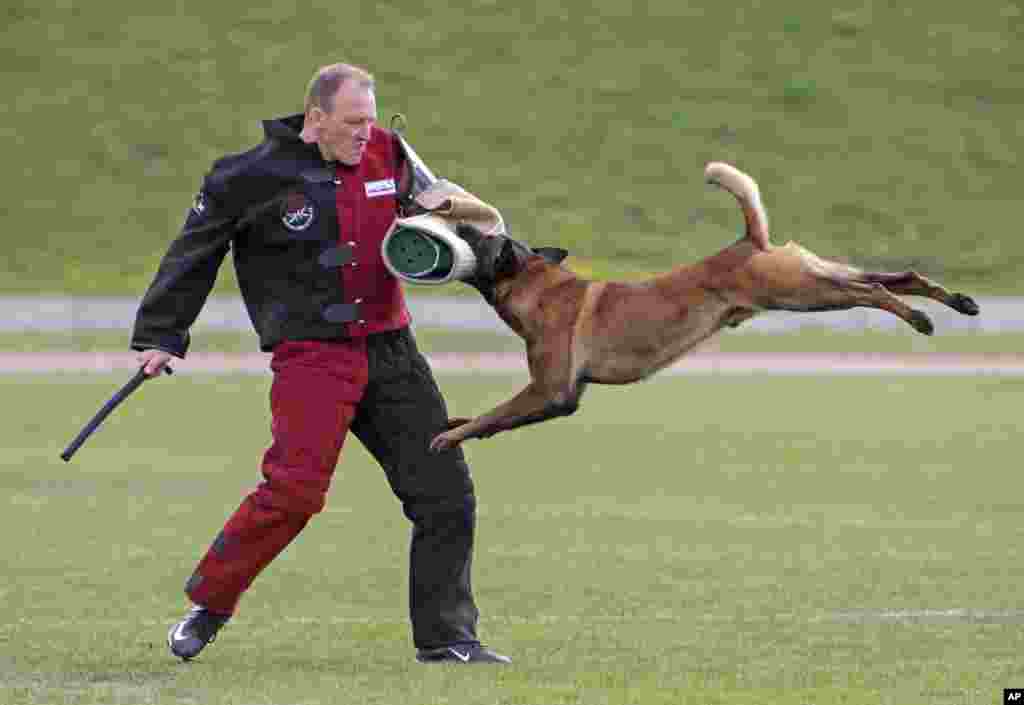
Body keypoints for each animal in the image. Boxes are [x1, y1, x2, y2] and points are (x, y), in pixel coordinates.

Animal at [428, 162, 978, 450]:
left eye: (477, 239)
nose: (463, 224)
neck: (539, 285)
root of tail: (749, 240)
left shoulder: (552, 391)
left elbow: (495, 414)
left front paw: (450, 437)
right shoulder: (559, 397)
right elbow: (495, 417)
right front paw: (453, 426)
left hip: (802, 294)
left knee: (877, 292)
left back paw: (922, 318)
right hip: (813, 276)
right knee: (893, 277)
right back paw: (956, 301)